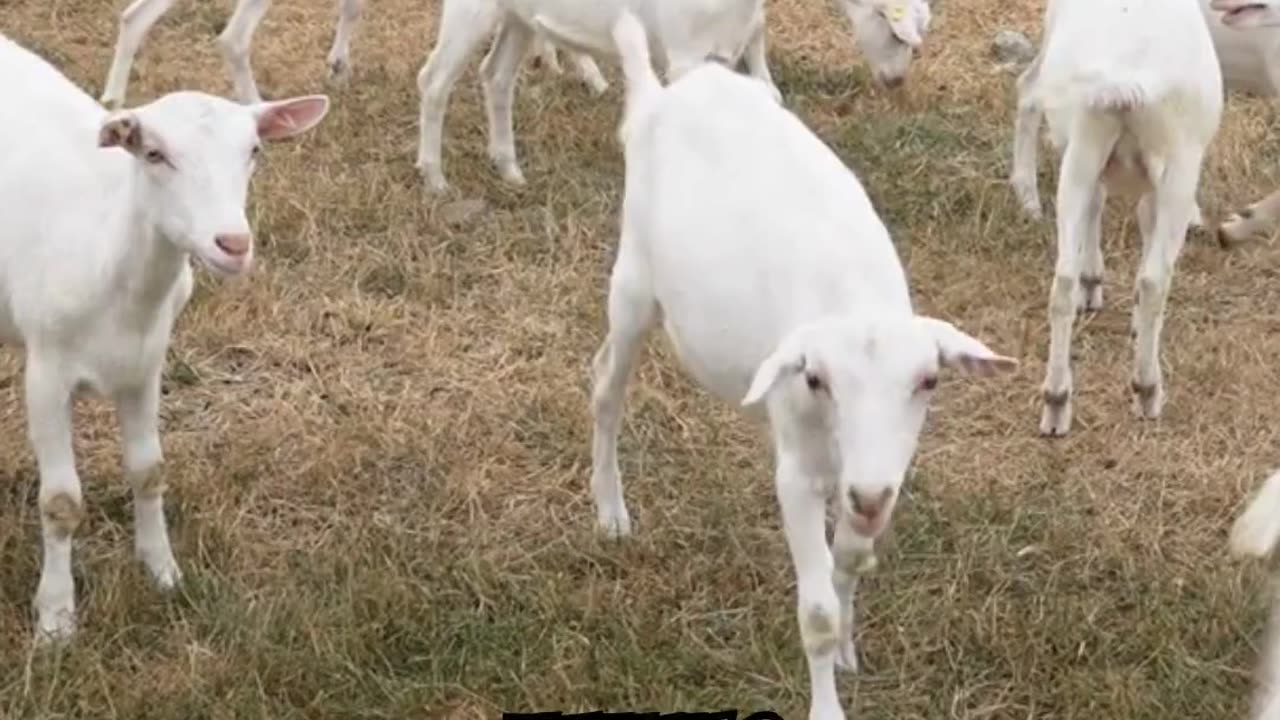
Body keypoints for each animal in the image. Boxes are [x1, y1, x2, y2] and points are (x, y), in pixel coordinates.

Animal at [1, 32, 330, 638]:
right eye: (153, 153)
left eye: (254, 151)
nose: (233, 244)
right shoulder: (47, 373)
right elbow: (60, 502)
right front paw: (56, 618)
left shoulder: (146, 363)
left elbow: (149, 471)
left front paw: (162, 572)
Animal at [414, 0, 936, 193]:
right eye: (897, 33)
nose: (896, 82)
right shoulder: (686, 52)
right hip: (471, 10)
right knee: (434, 80)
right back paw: (435, 179)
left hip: (519, 17)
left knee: (496, 77)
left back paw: (509, 168)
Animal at [593, 11, 1013, 717]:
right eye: (816, 378)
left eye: (929, 380)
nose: (868, 496)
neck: (849, 293)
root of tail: (662, 94)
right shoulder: (798, 472)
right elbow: (814, 610)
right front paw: (826, 695)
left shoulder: (878, 469)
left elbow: (850, 560)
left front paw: (847, 650)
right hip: (633, 282)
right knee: (606, 388)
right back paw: (610, 512)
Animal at [1008, 0, 1228, 435]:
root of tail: (1125, 87)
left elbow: (1096, 209)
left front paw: (1092, 284)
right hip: (1179, 166)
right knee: (1154, 281)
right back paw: (1147, 390)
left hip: (1081, 149)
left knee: (1061, 280)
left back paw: (1056, 402)